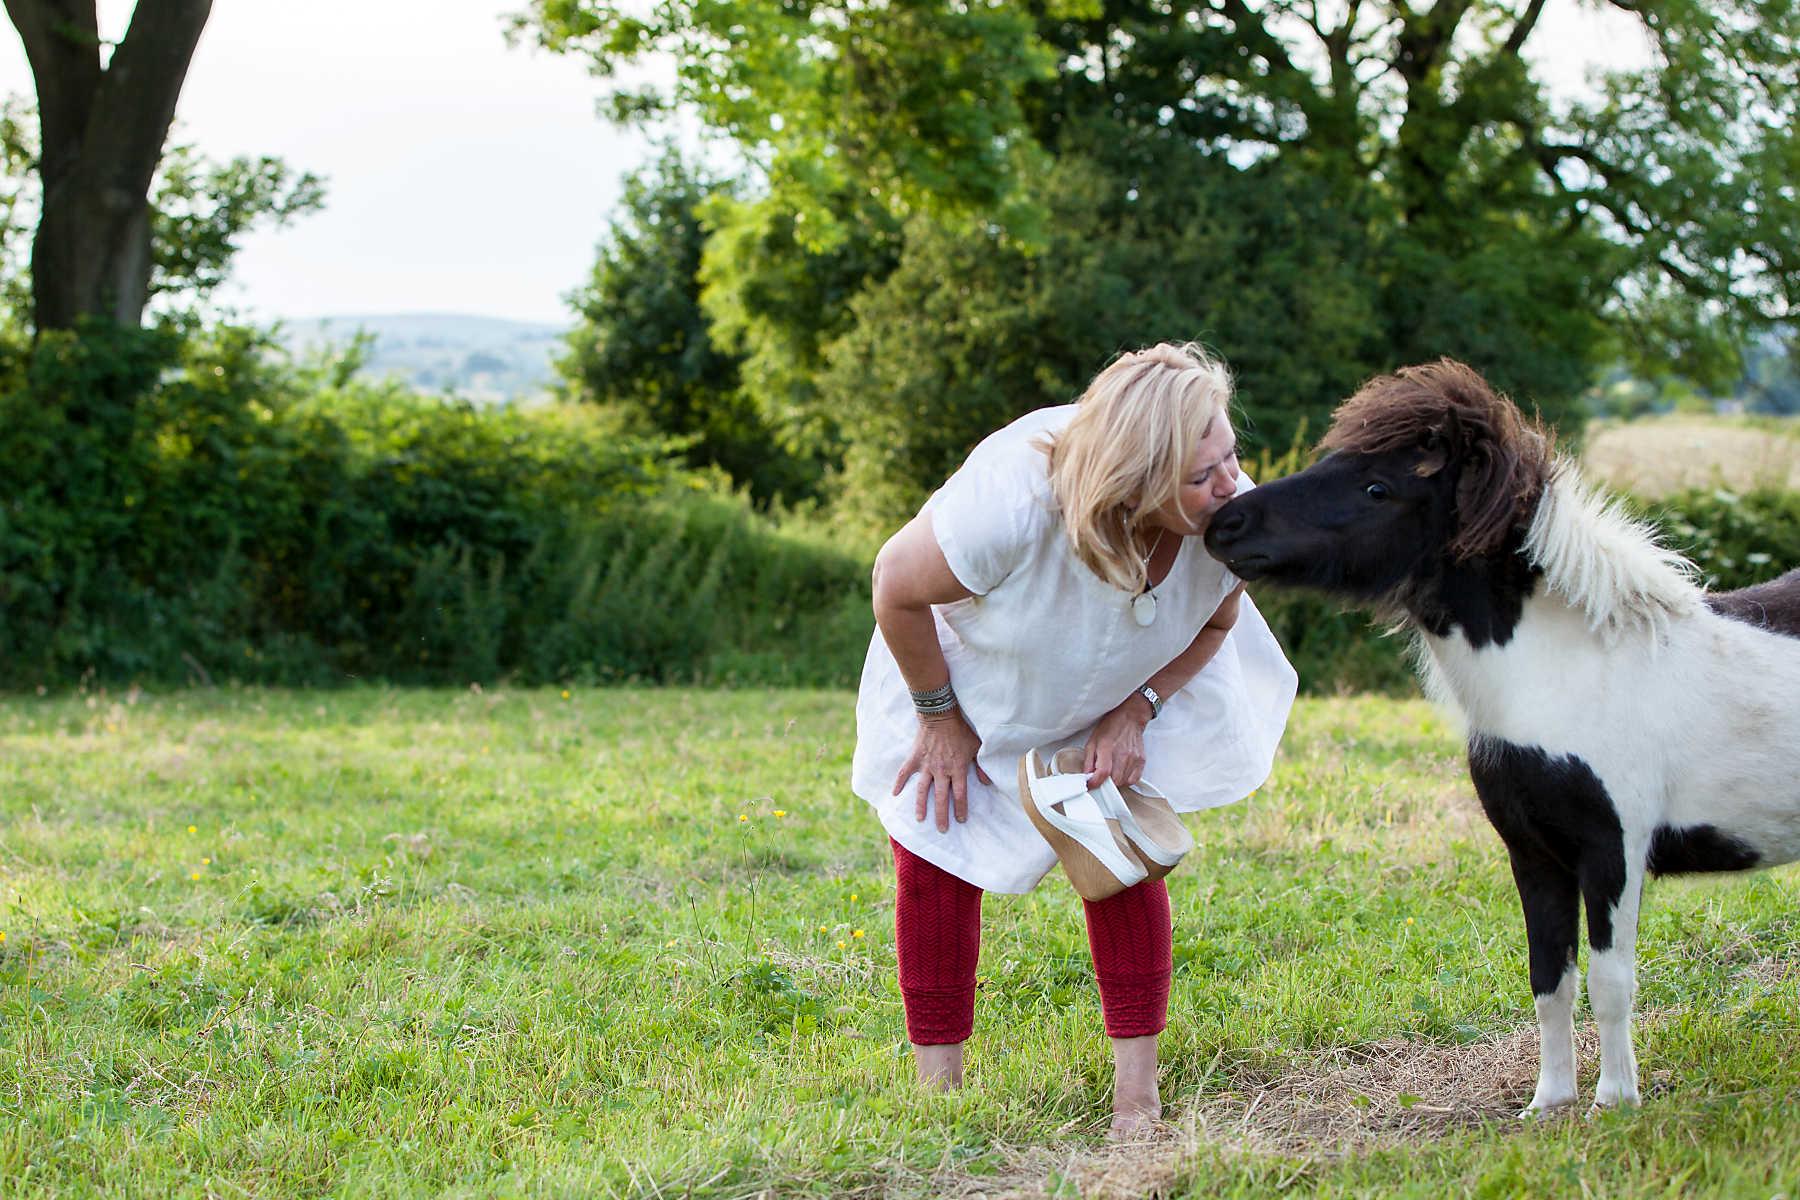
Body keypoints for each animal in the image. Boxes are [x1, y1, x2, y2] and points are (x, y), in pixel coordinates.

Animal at [1203, 359, 1800, 1113]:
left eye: (1378, 487)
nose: (1224, 524)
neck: (1569, 670)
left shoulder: (1612, 852)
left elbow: (1610, 983)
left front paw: (1615, 1103)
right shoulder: (1534, 856)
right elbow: (1550, 981)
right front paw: (1549, 1102)